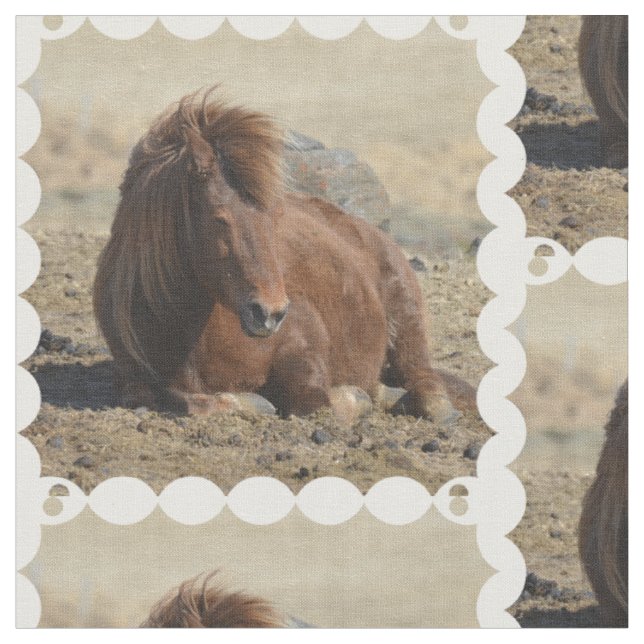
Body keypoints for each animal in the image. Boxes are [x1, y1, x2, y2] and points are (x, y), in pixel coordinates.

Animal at [93, 88, 461, 423]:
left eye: (273, 216)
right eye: (220, 218)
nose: (269, 312)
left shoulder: (303, 346)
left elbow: (316, 403)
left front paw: (352, 398)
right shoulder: (133, 382)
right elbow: (180, 400)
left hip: (407, 319)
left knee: (423, 381)